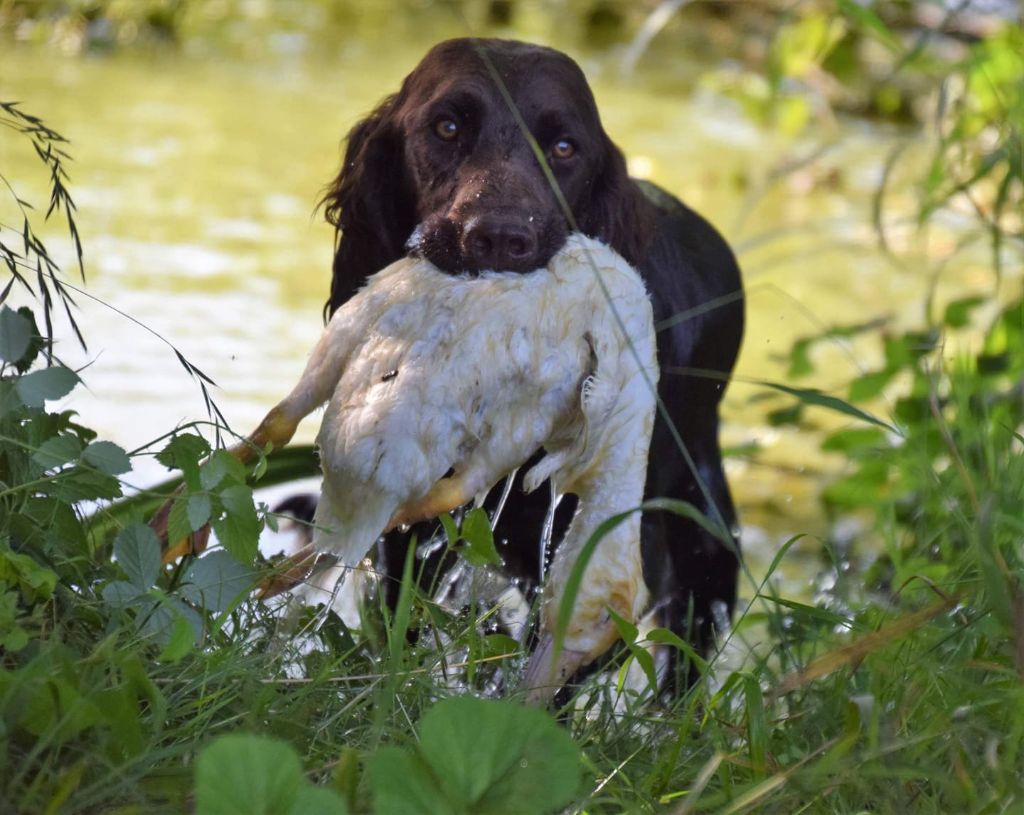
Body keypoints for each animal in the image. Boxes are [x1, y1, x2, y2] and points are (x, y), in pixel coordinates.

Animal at [315, 36, 741, 688]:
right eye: (447, 127)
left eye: (564, 148)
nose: (498, 237)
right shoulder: (413, 526)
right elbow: (399, 627)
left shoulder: (606, 556)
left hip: (702, 533)